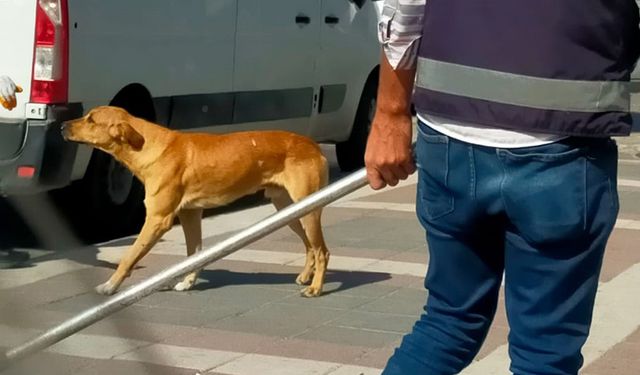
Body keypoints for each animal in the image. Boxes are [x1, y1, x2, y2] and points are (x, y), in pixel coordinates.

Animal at [62, 107, 330, 298]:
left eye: (91, 120)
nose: (62, 125)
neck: (149, 146)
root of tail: (315, 146)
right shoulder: (190, 214)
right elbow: (194, 253)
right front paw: (187, 282)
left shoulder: (158, 219)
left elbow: (130, 256)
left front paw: (110, 286)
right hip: (290, 211)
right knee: (310, 246)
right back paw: (305, 276)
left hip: (308, 209)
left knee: (322, 251)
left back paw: (315, 288)